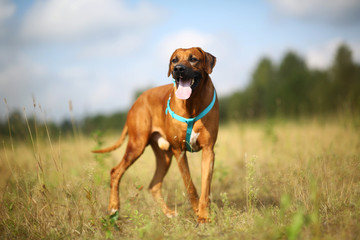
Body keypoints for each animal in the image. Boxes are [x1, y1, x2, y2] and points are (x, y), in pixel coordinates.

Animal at [91, 47, 218, 223]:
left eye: (193, 59)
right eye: (174, 60)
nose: (178, 69)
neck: (192, 104)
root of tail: (136, 102)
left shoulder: (208, 151)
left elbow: (205, 188)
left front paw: (203, 216)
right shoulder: (179, 151)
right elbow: (190, 186)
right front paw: (197, 210)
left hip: (164, 156)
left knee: (154, 185)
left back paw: (168, 213)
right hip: (137, 145)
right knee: (116, 172)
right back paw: (113, 208)